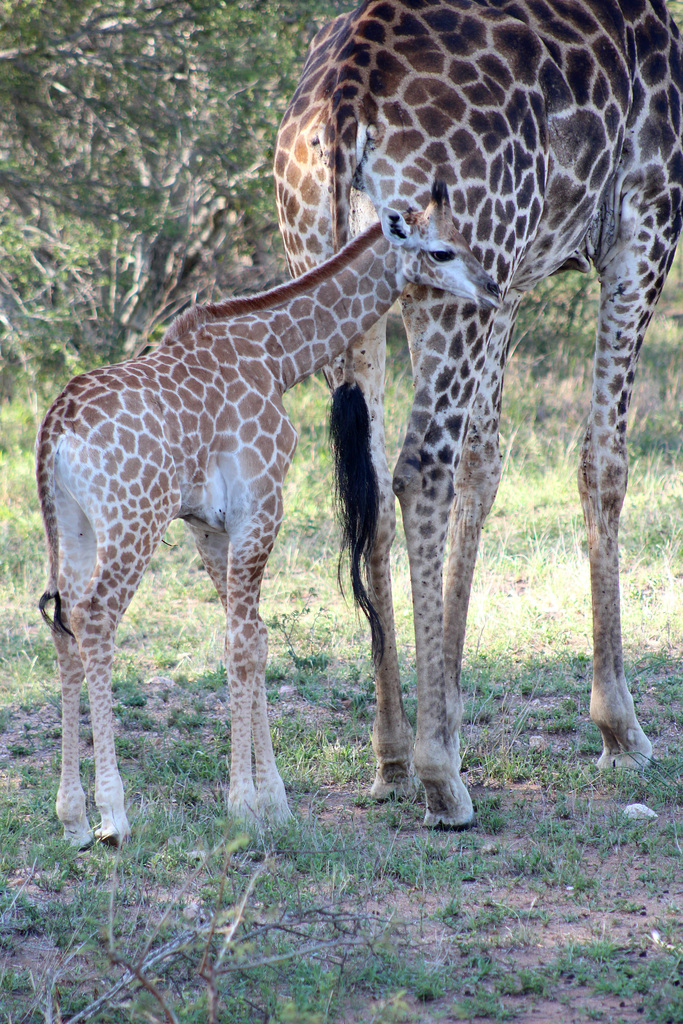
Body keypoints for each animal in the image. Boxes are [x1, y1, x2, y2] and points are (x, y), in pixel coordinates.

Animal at [37, 184, 499, 847]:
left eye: (464, 237)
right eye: (441, 250)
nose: (491, 288)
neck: (277, 355)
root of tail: (54, 429)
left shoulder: (209, 525)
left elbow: (249, 637)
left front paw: (270, 801)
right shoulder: (259, 504)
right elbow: (244, 644)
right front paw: (245, 804)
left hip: (70, 525)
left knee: (64, 625)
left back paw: (72, 816)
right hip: (133, 519)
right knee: (96, 619)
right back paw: (113, 816)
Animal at [274, 0, 683, 827]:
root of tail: (344, 96)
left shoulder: (512, 279)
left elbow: (484, 467)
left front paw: (454, 706)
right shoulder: (643, 225)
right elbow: (602, 463)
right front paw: (619, 729)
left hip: (337, 276)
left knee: (371, 484)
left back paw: (393, 756)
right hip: (446, 271)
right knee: (416, 468)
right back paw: (439, 779)